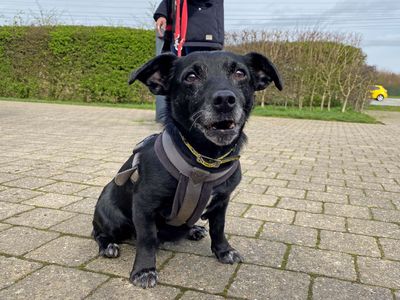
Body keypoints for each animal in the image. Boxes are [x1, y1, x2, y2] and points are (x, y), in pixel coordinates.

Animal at [92, 51, 282, 288]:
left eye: (240, 73)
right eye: (191, 77)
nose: (225, 100)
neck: (204, 161)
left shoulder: (222, 202)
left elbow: (218, 228)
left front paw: (223, 251)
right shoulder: (144, 205)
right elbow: (146, 239)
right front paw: (144, 270)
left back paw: (193, 229)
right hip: (112, 217)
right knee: (98, 233)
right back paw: (108, 245)